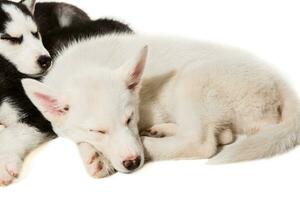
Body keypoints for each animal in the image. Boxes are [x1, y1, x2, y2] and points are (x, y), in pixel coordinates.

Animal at [22, 33, 300, 177]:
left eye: (129, 119)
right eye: (98, 131)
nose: (133, 163)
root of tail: (276, 78)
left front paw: (100, 157)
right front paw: (94, 154)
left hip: (193, 79)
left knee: (203, 142)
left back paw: (152, 143)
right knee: (224, 135)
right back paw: (162, 130)